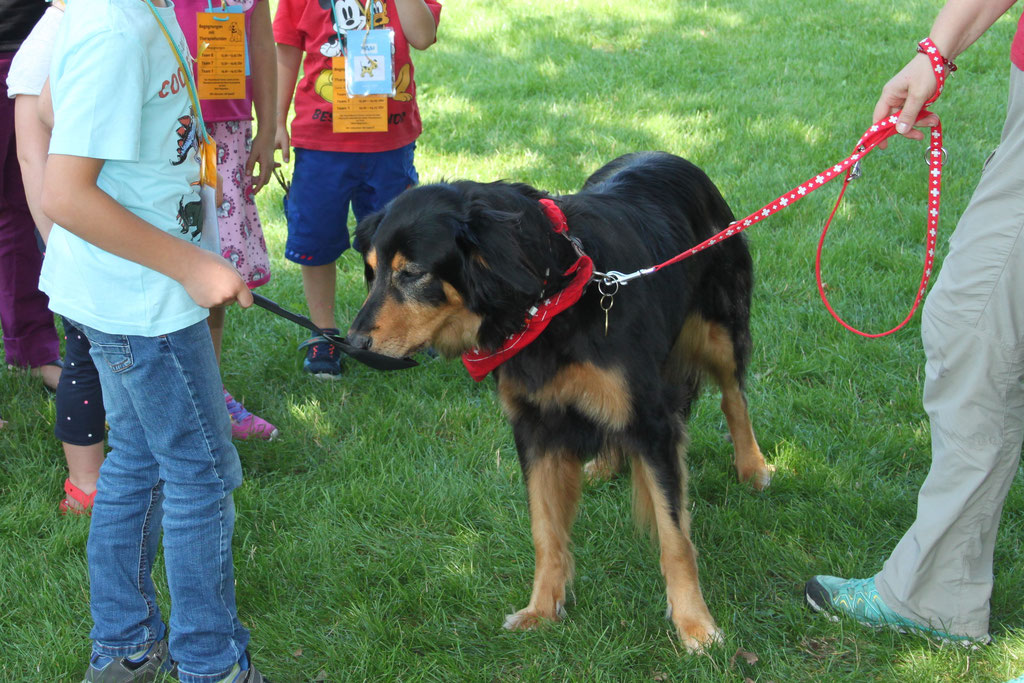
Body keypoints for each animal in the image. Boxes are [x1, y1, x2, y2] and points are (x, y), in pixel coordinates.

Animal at [348, 149, 770, 651]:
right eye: (372, 272)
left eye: (412, 274)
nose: (352, 344)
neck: (551, 299)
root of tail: (668, 155)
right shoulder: (536, 428)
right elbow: (545, 530)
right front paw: (543, 609)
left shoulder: (651, 421)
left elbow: (674, 537)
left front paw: (694, 624)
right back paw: (607, 465)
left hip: (719, 329)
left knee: (734, 398)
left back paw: (752, 466)